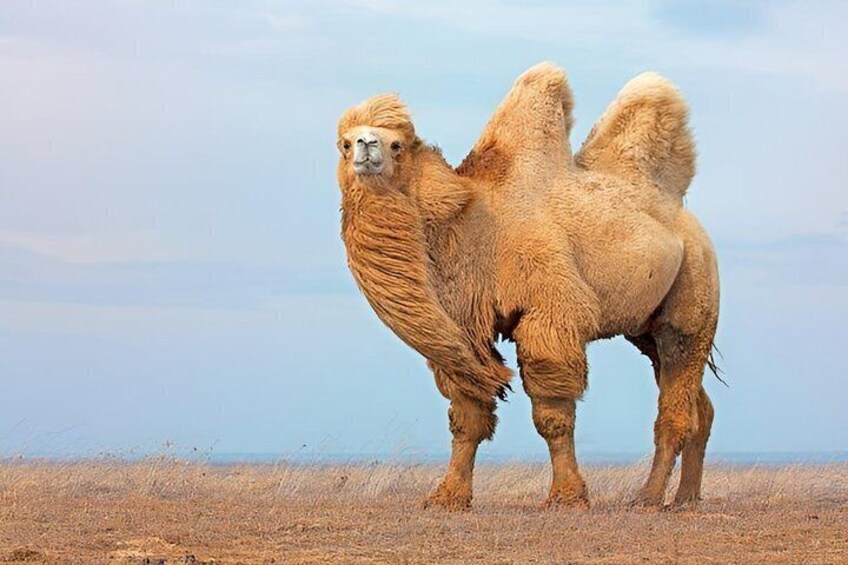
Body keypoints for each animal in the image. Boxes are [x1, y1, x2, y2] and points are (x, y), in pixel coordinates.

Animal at [336, 62, 719, 510]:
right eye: (344, 143)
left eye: (397, 145)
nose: (365, 146)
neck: (472, 223)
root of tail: (686, 219)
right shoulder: (466, 329)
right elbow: (467, 414)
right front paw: (448, 497)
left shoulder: (550, 311)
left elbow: (552, 414)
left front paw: (568, 497)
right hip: (645, 328)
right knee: (698, 405)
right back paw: (687, 497)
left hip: (694, 291)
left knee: (675, 399)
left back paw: (649, 497)